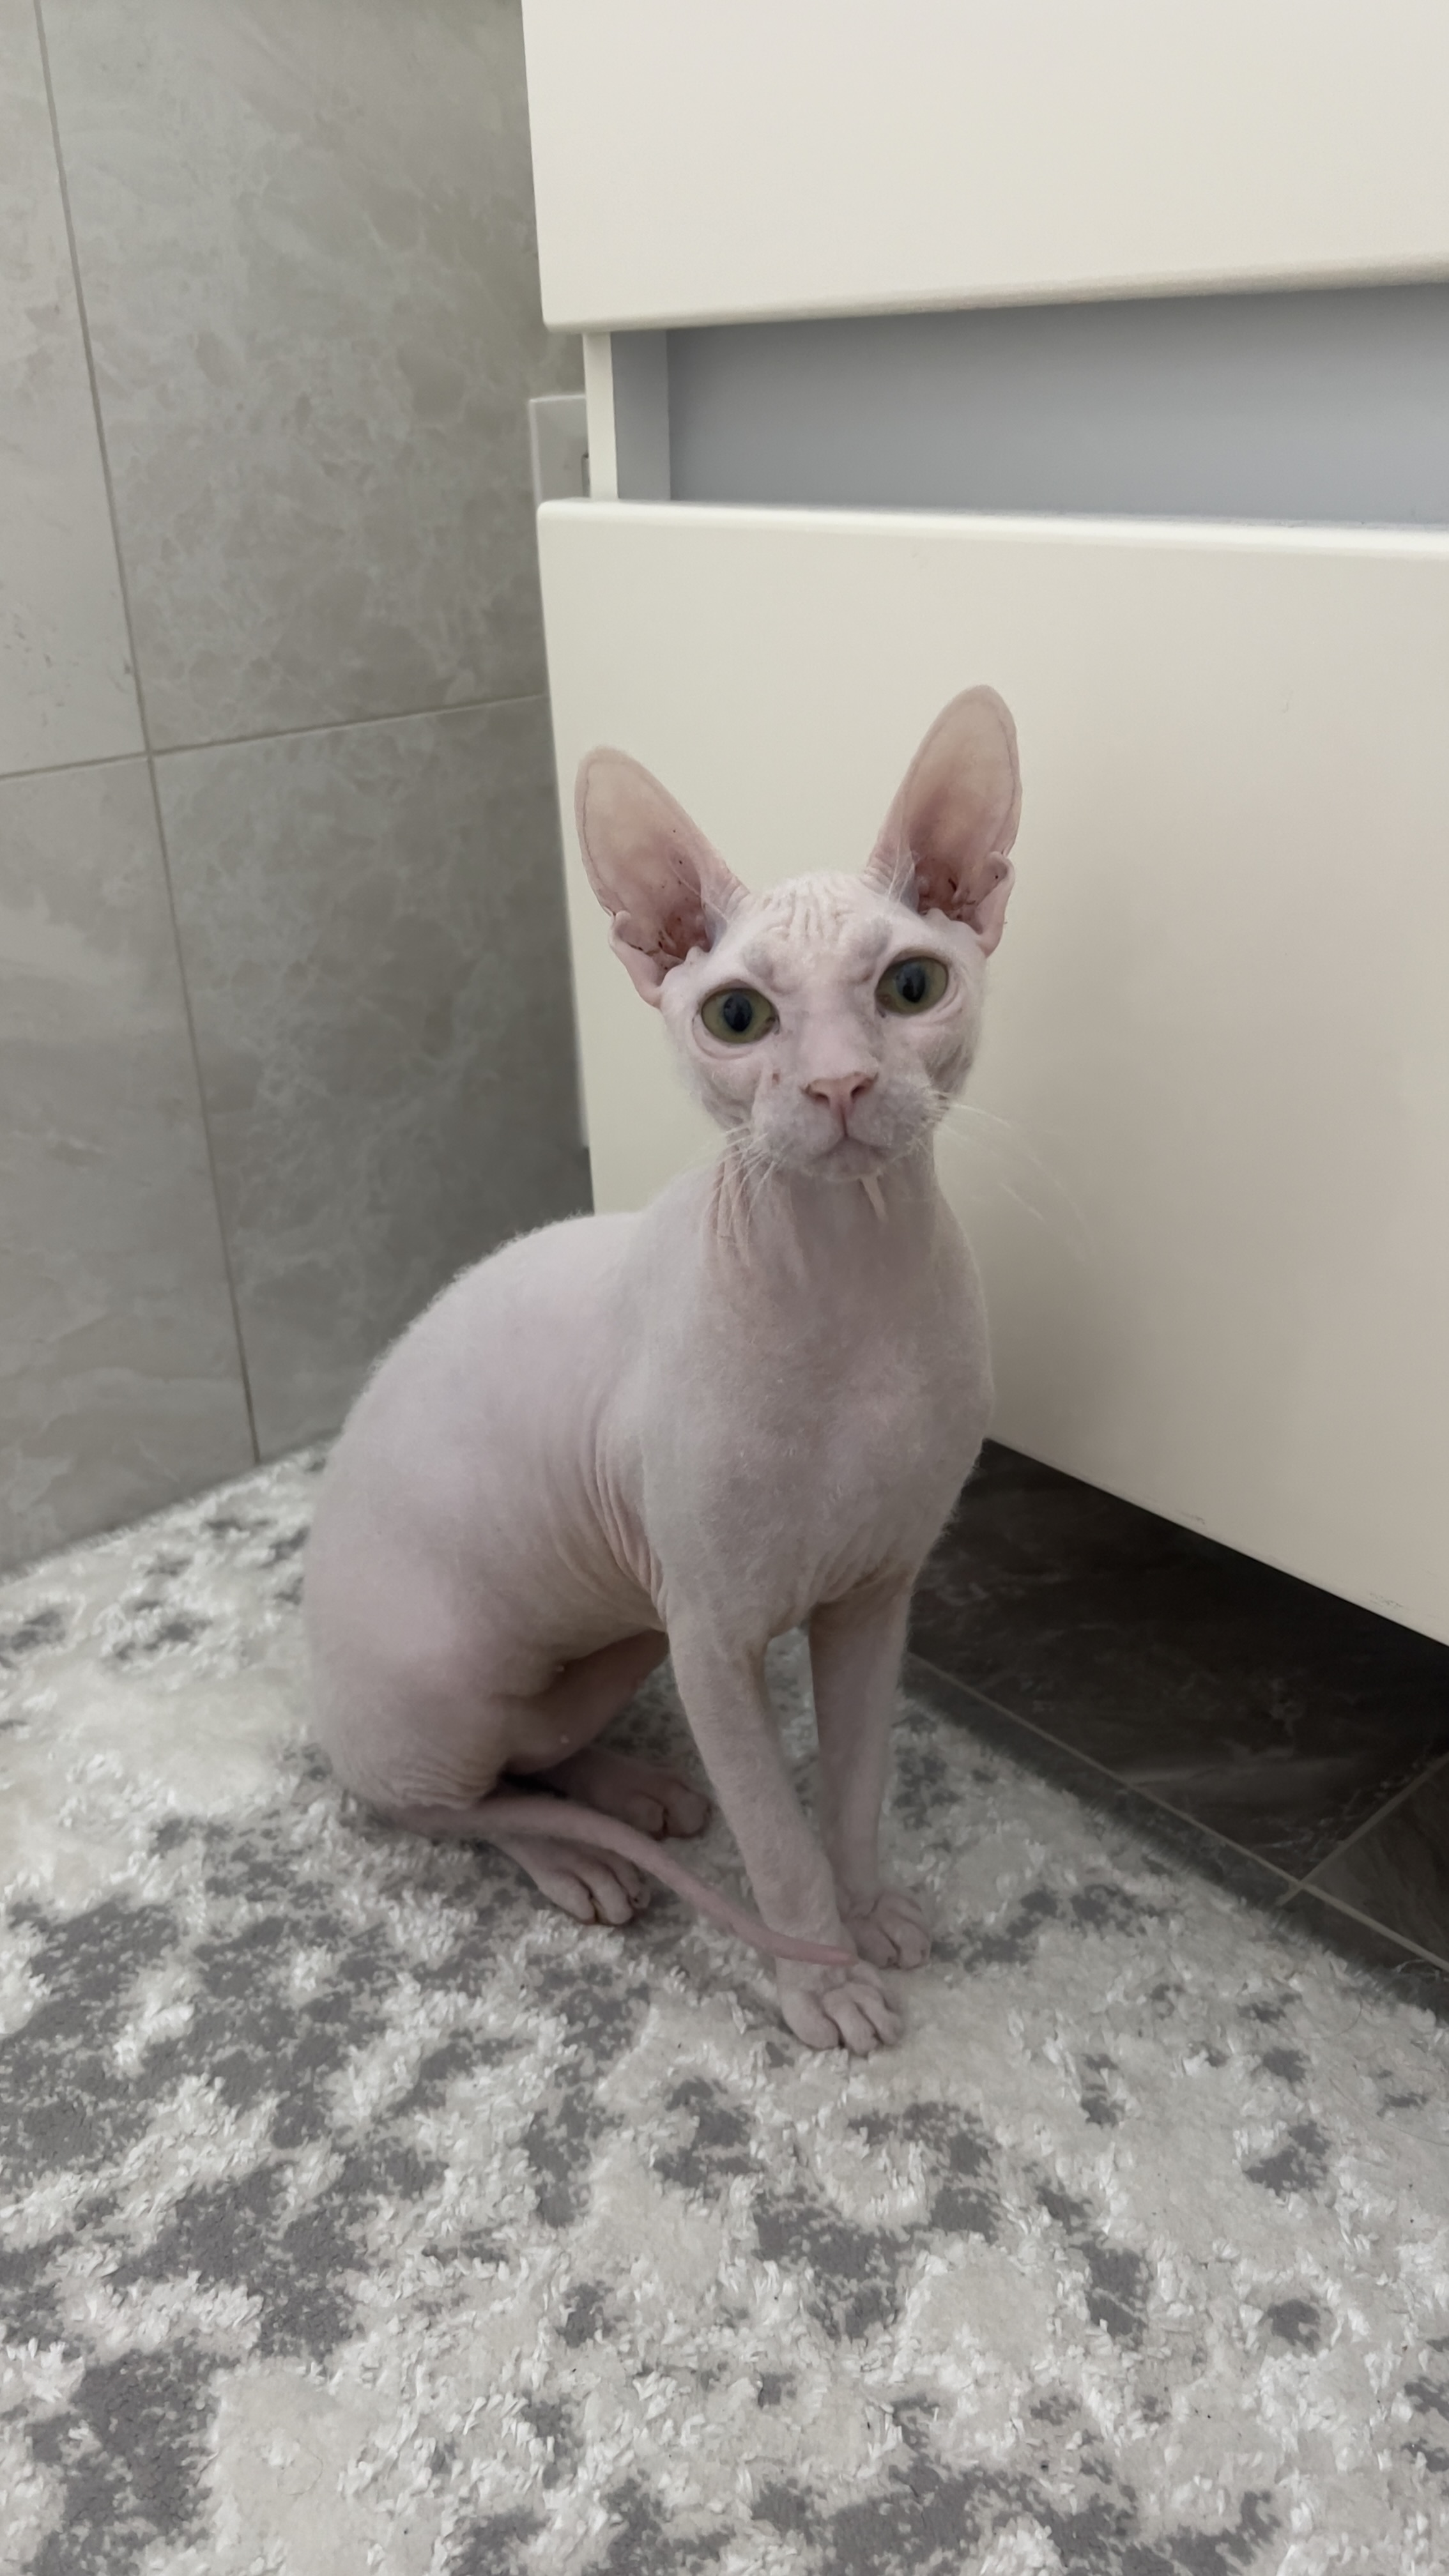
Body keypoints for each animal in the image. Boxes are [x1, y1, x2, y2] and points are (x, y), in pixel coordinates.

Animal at [304, 685, 1020, 2054]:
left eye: (911, 986)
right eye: (737, 1015)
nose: (839, 1084)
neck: (849, 1283)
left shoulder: (874, 1596)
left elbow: (853, 1783)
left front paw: (867, 1911)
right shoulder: (713, 1636)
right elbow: (776, 1833)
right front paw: (819, 1973)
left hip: (618, 1627)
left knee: (527, 1749)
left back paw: (630, 1789)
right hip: (460, 1670)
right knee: (444, 1802)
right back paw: (575, 1854)